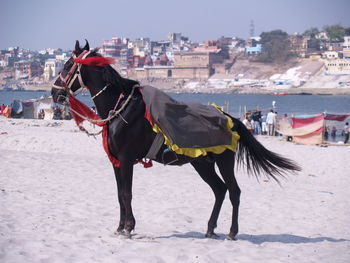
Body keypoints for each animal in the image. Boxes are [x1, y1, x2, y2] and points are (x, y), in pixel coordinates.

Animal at [50, 41, 300, 241]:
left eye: (67, 65)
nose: (54, 93)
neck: (120, 108)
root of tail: (229, 118)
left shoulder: (127, 159)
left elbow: (127, 193)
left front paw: (129, 227)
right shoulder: (116, 162)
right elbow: (120, 194)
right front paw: (120, 227)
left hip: (224, 161)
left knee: (233, 191)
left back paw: (232, 232)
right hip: (202, 163)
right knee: (219, 190)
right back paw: (210, 229)